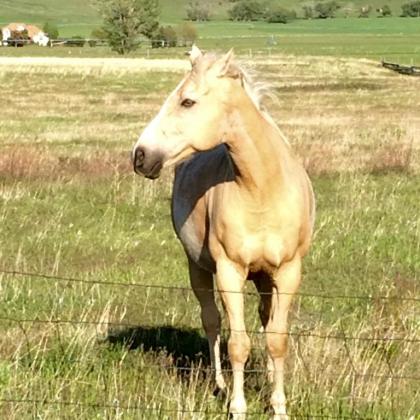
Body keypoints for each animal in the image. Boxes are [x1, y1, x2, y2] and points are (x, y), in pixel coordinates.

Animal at [132, 44, 316, 418]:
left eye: (187, 101)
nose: (140, 156)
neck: (261, 189)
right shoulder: (230, 270)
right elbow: (237, 343)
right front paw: (238, 406)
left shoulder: (289, 271)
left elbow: (277, 339)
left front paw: (278, 406)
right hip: (199, 268)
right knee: (212, 320)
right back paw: (218, 385)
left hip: (264, 277)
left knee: (265, 319)